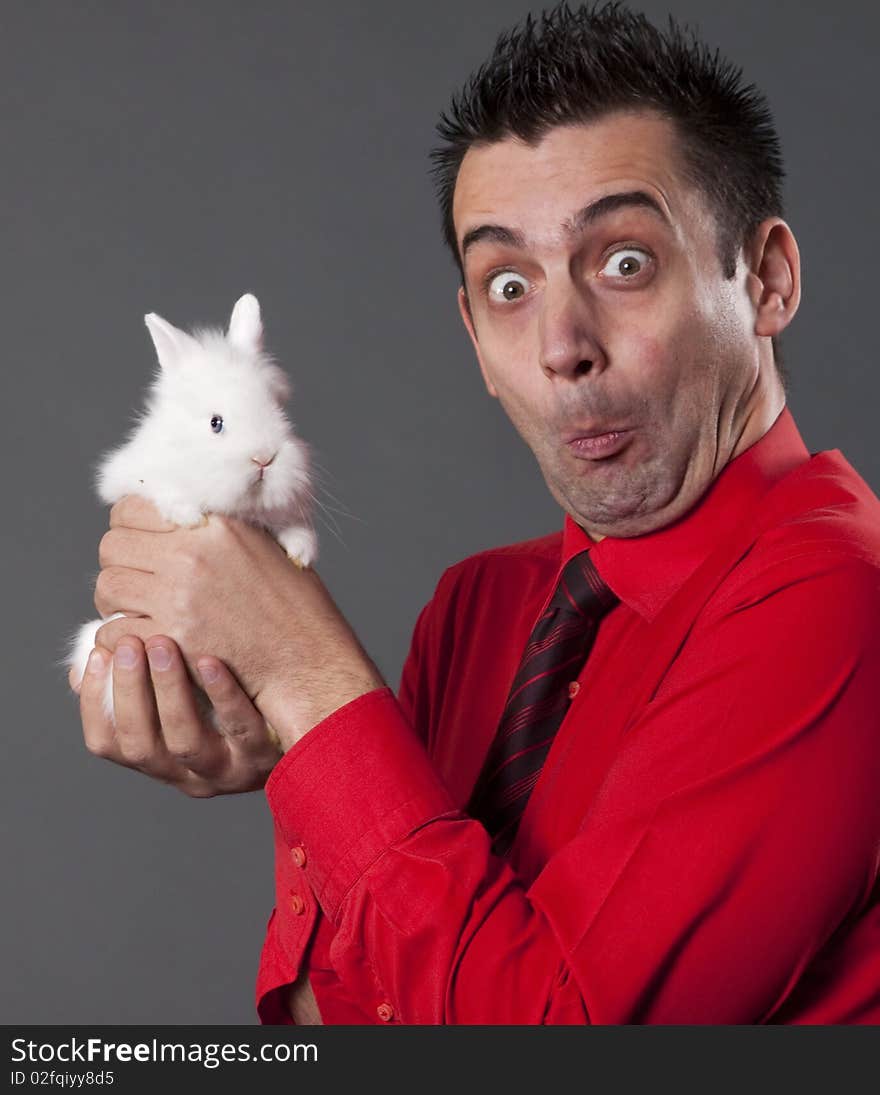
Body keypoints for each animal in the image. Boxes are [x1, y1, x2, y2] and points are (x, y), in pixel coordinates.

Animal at [67, 293, 315, 735]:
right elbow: (165, 492)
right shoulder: (132, 477)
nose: (265, 459)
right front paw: (189, 517)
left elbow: (290, 525)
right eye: (216, 423)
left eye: (279, 410)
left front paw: (300, 552)